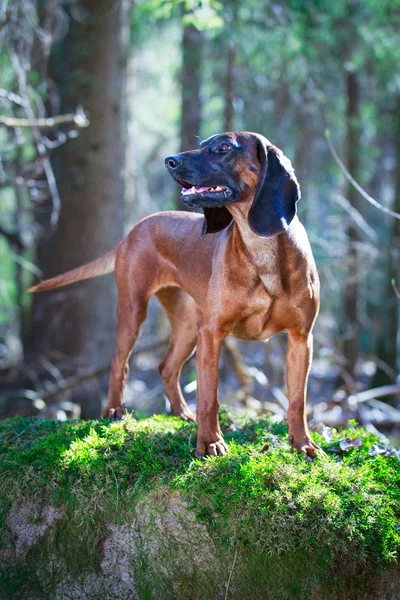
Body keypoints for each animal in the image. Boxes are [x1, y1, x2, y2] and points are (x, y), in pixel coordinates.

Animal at [28, 131, 322, 458]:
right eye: (203, 142)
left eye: (224, 147)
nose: (170, 161)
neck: (261, 251)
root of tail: (133, 230)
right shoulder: (212, 334)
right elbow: (209, 398)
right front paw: (210, 442)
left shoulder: (300, 339)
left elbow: (297, 401)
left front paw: (303, 444)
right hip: (134, 311)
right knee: (120, 362)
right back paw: (114, 409)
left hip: (188, 327)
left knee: (167, 367)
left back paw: (181, 413)